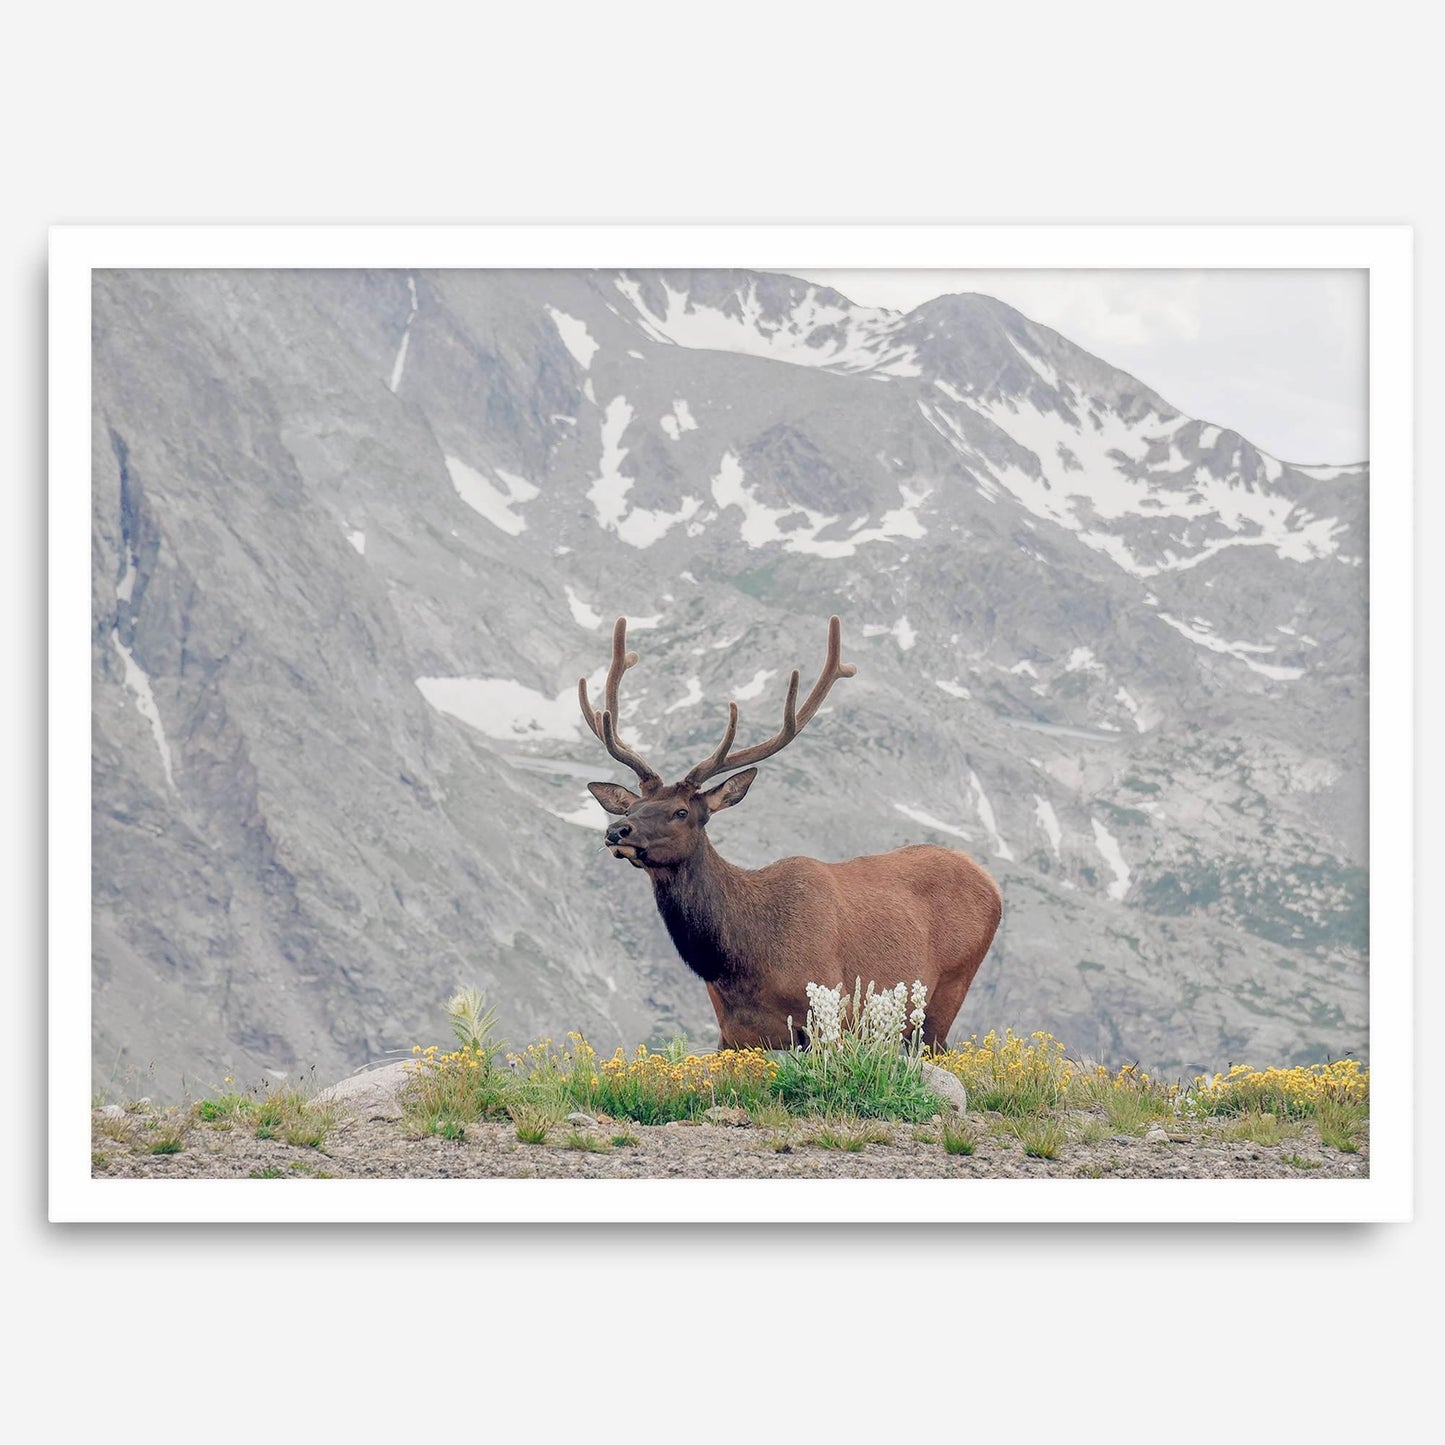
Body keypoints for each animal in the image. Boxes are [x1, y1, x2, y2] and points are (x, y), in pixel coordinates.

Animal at [581, 614, 1003, 1052]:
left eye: (681, 811)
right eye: (630, 807)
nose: (617, 830)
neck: (743, 963)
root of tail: (990, 883)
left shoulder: (829, 1010)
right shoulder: (732, 1035)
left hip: (949, 990)